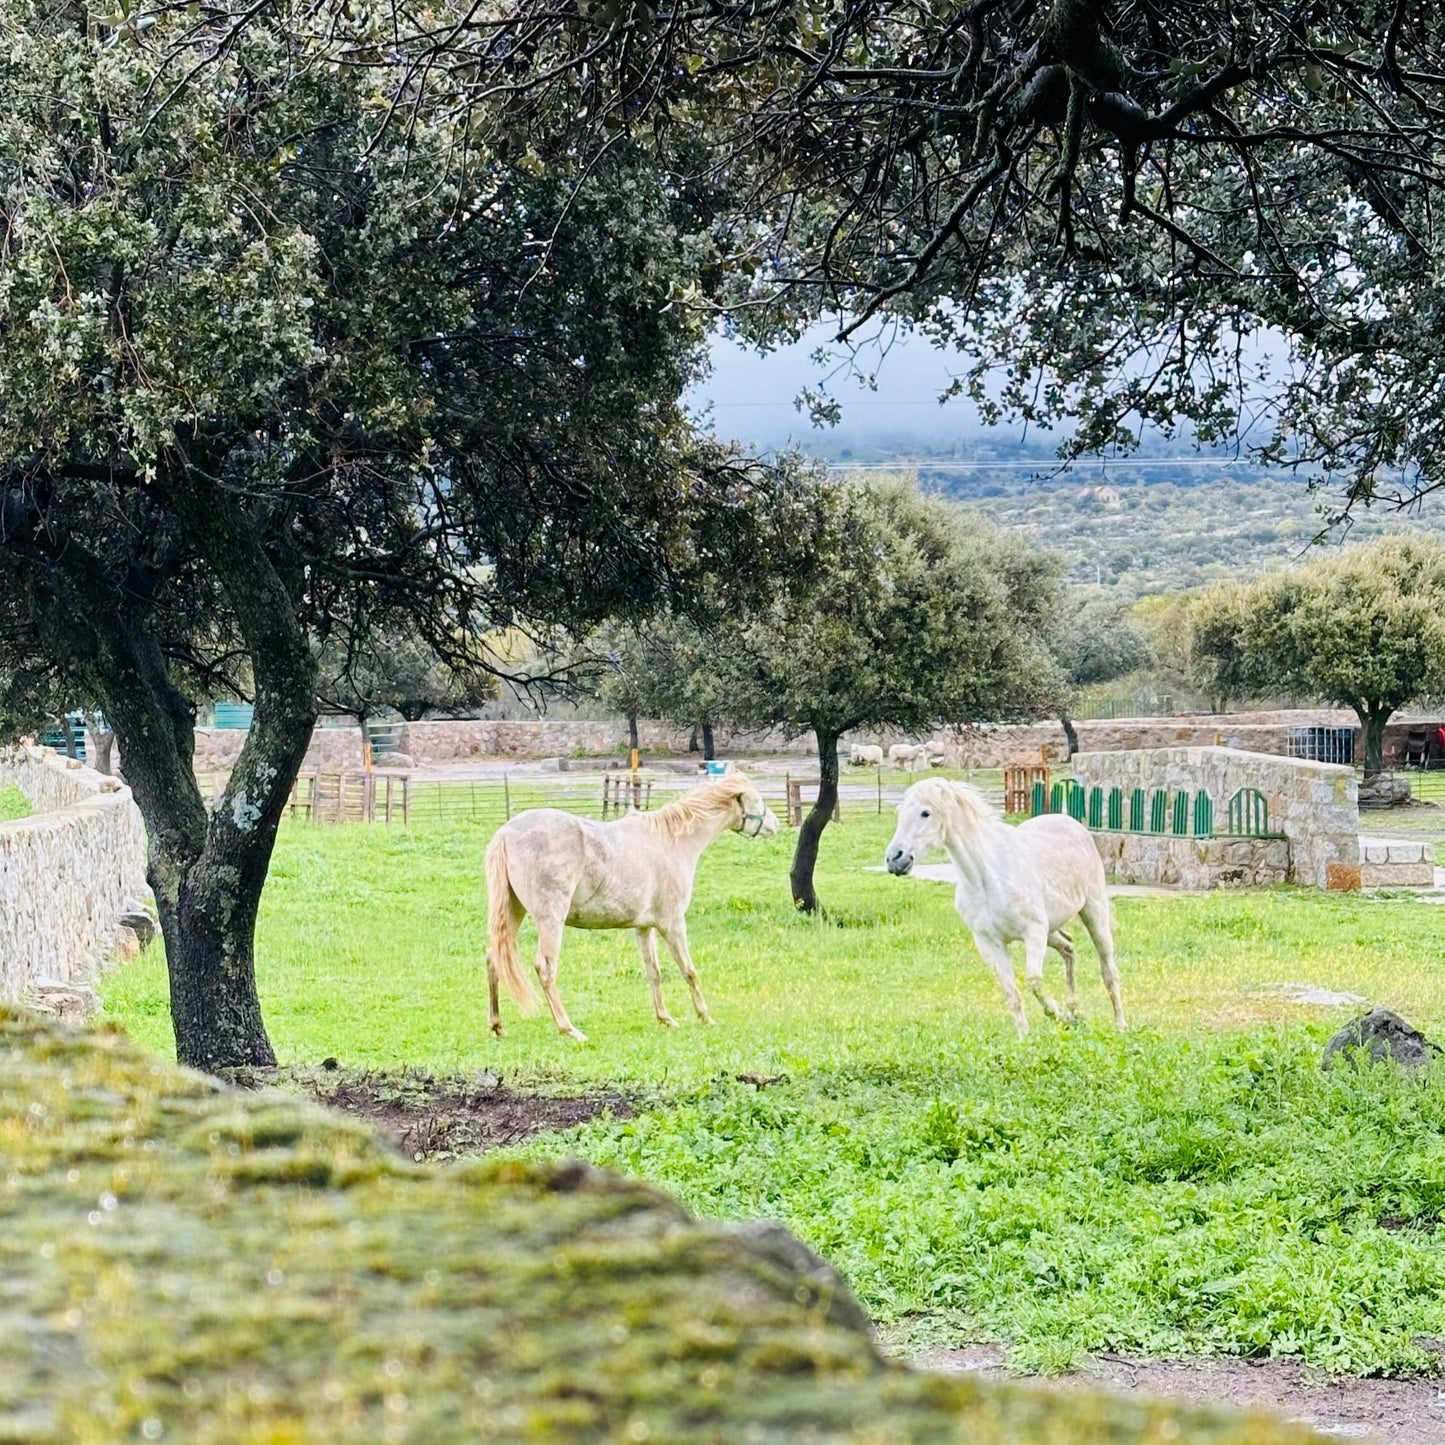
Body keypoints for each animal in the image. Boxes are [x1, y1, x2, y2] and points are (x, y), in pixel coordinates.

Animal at [485, 780, 780, 1040]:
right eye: (757, 799)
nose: (775, 824)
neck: (670, 842)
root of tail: (506, 834)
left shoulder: (644, 927)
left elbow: (654, 972)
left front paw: (665, 1018)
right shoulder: (673, 924)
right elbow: (689, 971)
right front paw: (705, 1017)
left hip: (513, 912)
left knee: (493, 959)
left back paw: (497, 1026)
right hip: (550, 920)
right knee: (545, 968)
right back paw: (569, 1029)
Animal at [878, 780, 1127, 1040]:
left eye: (925, 813)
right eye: (899, 812)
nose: (895, 859)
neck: (986, 877)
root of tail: (1073, 823)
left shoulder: (1033, 933)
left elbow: (1033, 980)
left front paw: (1060, 1017)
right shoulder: (989, 943)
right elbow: (1012, 994)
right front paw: (1027, 1038)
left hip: (1093, 914)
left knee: (1108, 970)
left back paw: (1119, 1025)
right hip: (1052, 930)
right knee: (1068, 948)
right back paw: (1075, 1012)